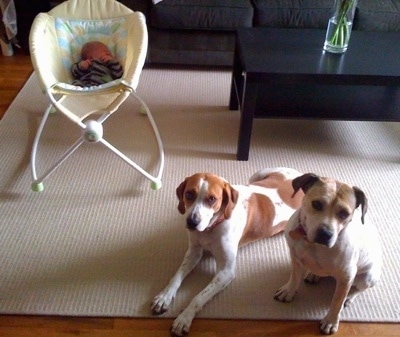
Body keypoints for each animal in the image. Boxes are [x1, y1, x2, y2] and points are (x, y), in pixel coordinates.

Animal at [150, 167, 304, 334]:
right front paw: (164, 296)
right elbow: (176, 277)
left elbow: (199, 296)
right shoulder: (193, 253)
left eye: (212, 199)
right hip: (258, 175)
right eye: (189, 194)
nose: (192, 222)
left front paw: (184, 317)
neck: (211, 227)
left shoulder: (226, 272)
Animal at [276, 173, 382, 334]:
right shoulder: (295, 257)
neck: (313, 244)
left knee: (359, 289)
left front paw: (331, 321)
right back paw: (314, 275)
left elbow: (337, 302)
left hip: (367, 277)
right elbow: (294, 277)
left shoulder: (346, 277)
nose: (325, 234)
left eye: (344, 214)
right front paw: (289, 291)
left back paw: (349, 297)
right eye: (317, 204)